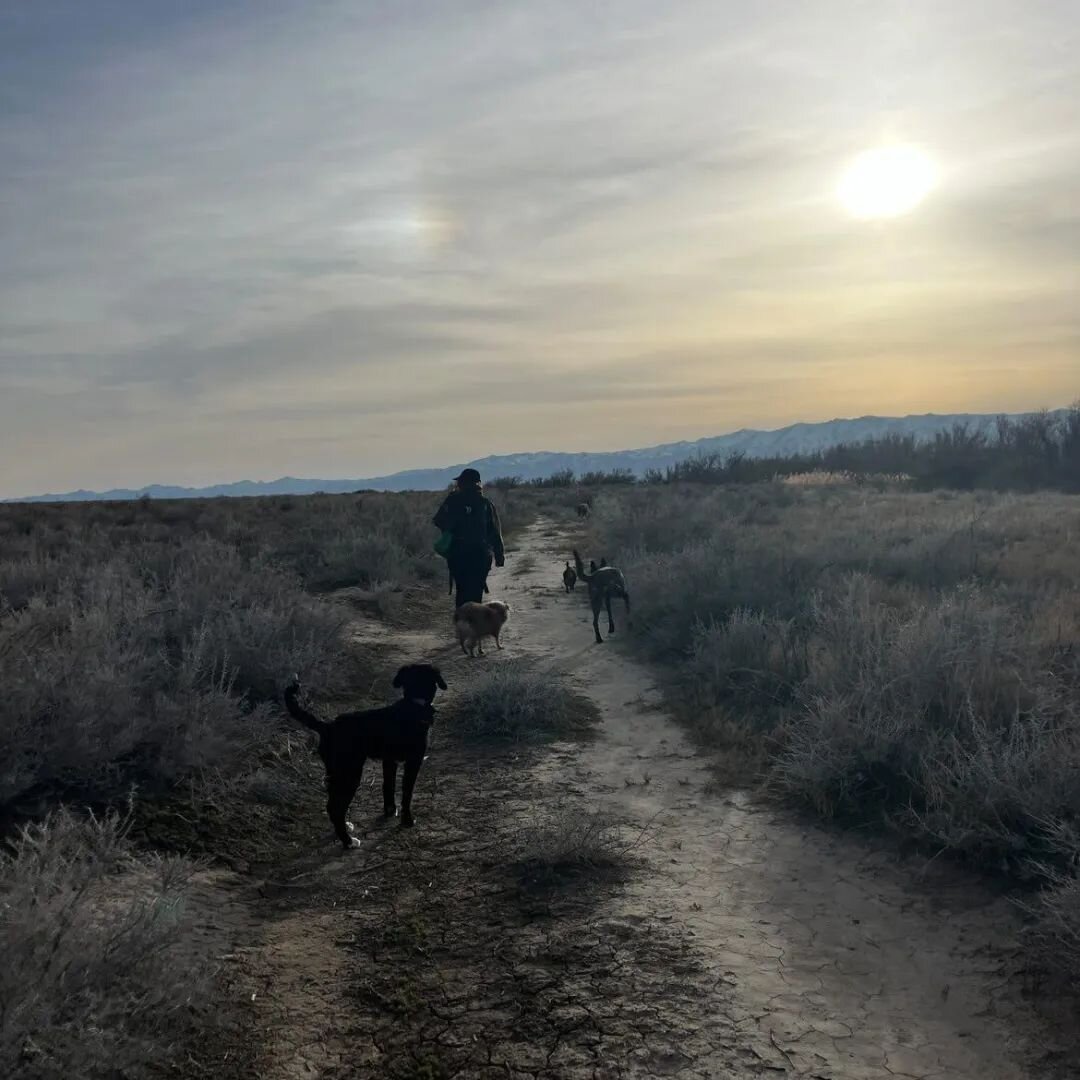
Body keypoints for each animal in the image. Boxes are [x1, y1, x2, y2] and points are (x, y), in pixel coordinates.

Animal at [282, 660, 447, 846]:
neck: (413, 704)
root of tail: (327, 727)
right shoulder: (414, 761)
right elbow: (407, 793)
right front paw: (407, 820)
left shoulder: (389, 760)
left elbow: (388, 786)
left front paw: (390, 811)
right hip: (350, 772)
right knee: (334, 807)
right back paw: (348, 841)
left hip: (335, 771)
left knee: (332, 803)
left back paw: (345, 827)